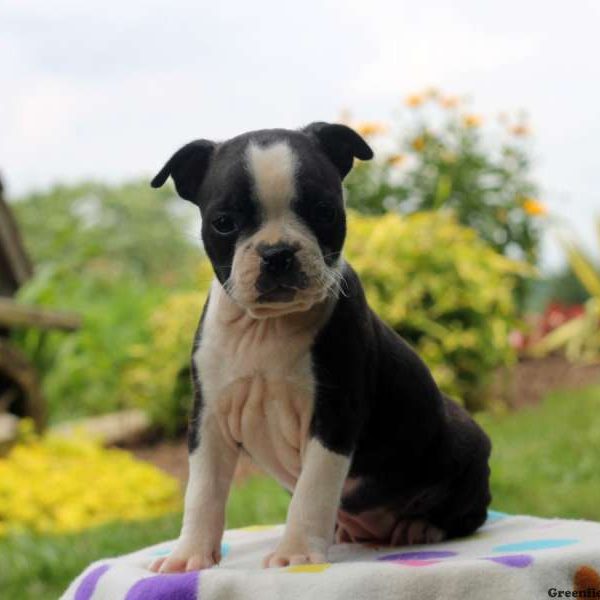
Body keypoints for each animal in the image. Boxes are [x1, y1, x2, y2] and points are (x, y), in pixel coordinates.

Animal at [148, 123, 490, 572]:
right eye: (224, 222)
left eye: (325, 211)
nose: (277, 252)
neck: (266, 327)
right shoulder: (209, 419)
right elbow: (202, 492)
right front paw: (189, 556)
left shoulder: (333, 414)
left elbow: (313, 490)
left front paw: (295, 553)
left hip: (465, 443)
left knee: (471, 512)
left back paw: (420, 528)